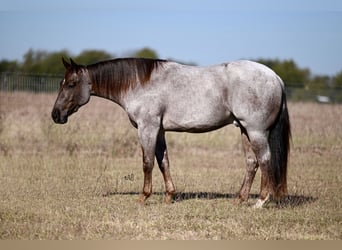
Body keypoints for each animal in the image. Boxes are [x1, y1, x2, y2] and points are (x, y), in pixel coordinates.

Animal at [52, 57, 290, 208]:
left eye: (72, 84)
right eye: (62, 83)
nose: (56, 115)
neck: (140, 84)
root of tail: (276, 77)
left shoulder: (147, 128)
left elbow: (147, 162)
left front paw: (143, 197)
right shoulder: (159, 131)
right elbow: (163, 161)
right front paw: (169, 196)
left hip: (256, 131)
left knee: (265, 160)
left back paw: (260, 201)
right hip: (243, 129)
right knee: (251, 162)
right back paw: (239, 199)